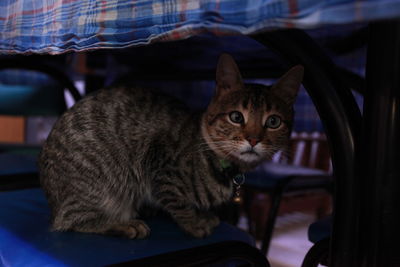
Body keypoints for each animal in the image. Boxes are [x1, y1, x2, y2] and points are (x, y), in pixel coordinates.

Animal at [38, 54, 304, 239]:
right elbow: (178, 202)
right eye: (236, 117)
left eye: (273, 122)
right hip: (101, 184)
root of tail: (53, 204)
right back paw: (124, 224)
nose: (253, 139)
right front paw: (194, 223)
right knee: (72, 220)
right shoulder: (159, 167)